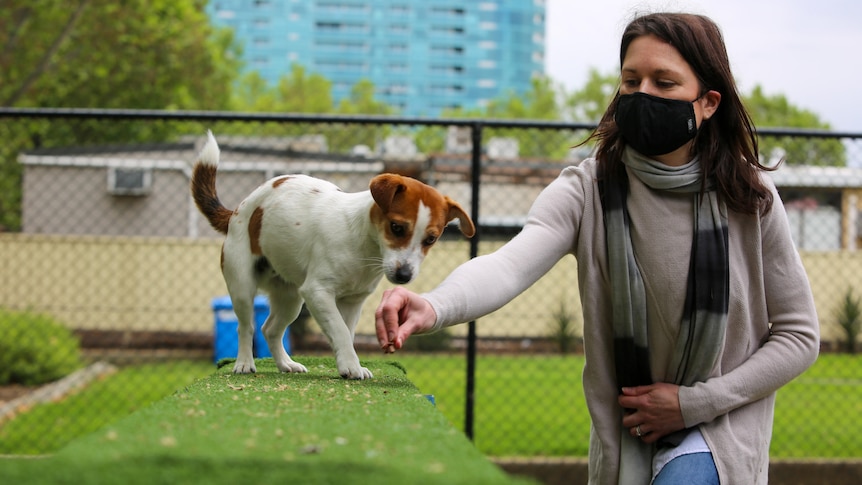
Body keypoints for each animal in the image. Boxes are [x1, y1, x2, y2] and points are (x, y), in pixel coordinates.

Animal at [192, 131, 476, 378]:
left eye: (431, 239)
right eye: (397, 227)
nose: (404, 276)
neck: (363, 246)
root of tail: (236, 212)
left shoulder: (352, 302)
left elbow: (346, 333)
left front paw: (348, 364)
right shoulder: (317, 292)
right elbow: (338, 330)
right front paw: (351, 366)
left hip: (291, 298)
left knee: (270, 329)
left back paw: (285, 364)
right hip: (242, 286)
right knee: (246, 326)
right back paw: (243, 363)